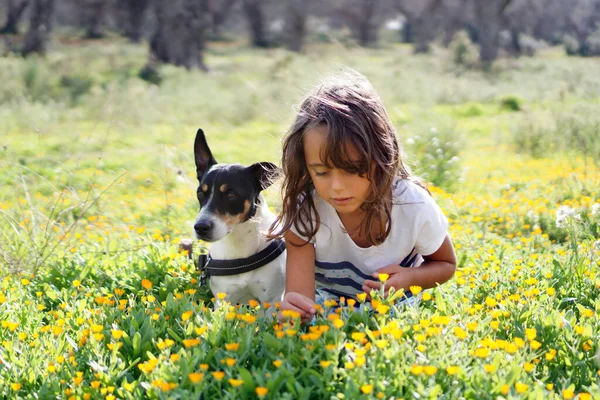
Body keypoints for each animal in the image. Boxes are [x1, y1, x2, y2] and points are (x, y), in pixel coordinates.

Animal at [193, 130, 284, 304]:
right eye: (200, 193)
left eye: (231, 194)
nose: (200, 227)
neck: (238, 243)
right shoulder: (224, 299)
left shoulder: (271, 301)